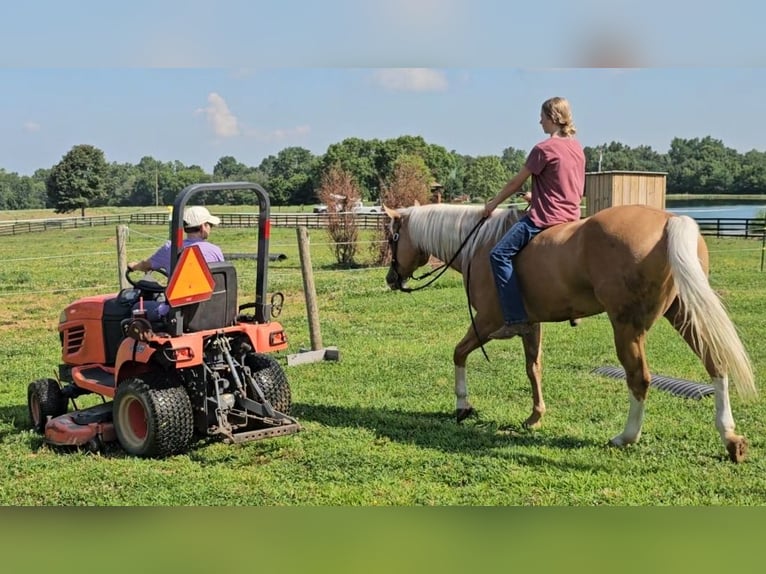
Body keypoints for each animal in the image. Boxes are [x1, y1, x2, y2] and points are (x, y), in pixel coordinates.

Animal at [388, 204, 760, 464]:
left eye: (393, 237)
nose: (392, 279)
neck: (478, 245)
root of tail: (669, 221)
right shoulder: (530, 325)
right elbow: (533, 368)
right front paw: (535, 416)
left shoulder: (489, 321)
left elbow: (459, 352)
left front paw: (463, 406)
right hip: (684, 313)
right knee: (716, 364)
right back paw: (730, 438)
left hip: (627, 327)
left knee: (639, 379)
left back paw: (625, 437)